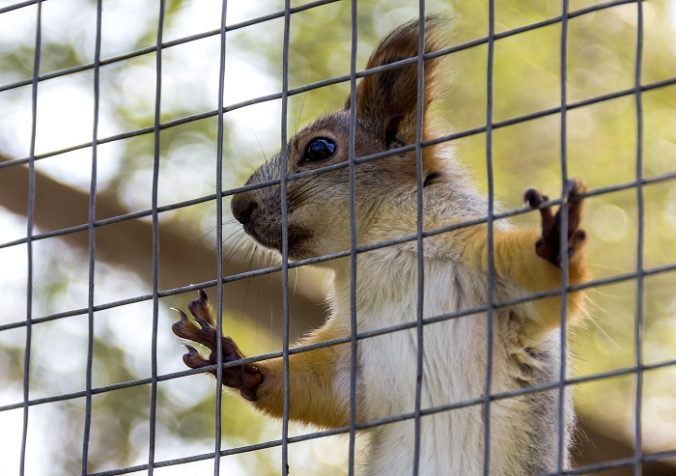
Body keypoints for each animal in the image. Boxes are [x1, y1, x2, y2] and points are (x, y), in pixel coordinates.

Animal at [172, 16, 588, 474]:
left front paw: (554, 242)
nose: (239, 207)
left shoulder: (471, 248)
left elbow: (536, 293)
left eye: (320, 148)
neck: (374, 249)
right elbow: (323, 386)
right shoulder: (353, 351)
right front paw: (234, 362)